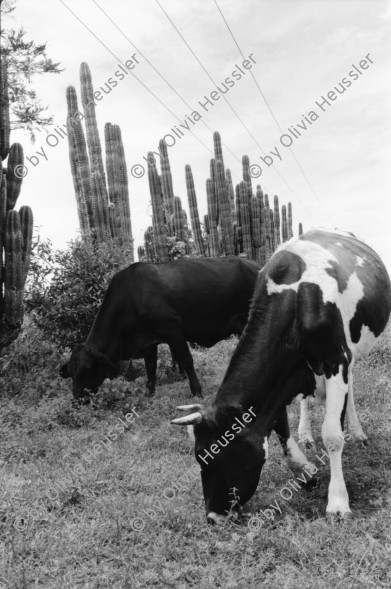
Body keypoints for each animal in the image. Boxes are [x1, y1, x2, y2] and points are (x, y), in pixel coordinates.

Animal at [59, 258, 260, 400]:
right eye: (71, 372)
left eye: (86, 370)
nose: (76, 399)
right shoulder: (147, 341)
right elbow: (151, 367)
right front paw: (149, 393)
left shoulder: (172, 328)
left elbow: (186, 360)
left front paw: (196, 391)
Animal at [172, 232, 391, 520]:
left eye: (207, 454)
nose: (213, 517)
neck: (297, 297)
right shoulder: (281, 380)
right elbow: (280, 426)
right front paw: (305, 469)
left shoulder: (337, 359)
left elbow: (333, 436)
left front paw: (337, 502)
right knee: (305, 400)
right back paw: (306, 433)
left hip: (352, 350)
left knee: (351, 386)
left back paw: (357, 432)